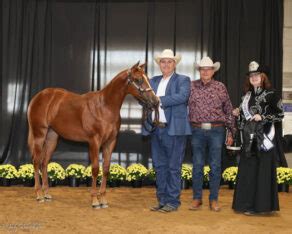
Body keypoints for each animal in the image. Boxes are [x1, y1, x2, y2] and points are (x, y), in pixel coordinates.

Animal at [27, 61, 159, 207]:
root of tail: (38, 97)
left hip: (52, 138)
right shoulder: (94, 142)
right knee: (36, 161)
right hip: (39, 134)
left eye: (147, 78)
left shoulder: (110, 142)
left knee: (44, 162)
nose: (155, 101)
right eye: (138, 80)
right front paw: (95, 201)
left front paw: (103, 200)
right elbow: (95, 169)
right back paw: (39, 195)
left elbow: (106, 169)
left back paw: (47, 194)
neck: (104, 107)